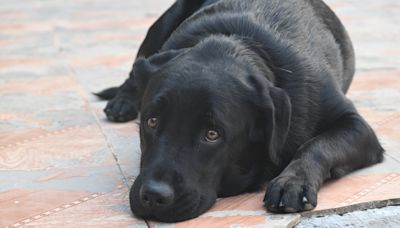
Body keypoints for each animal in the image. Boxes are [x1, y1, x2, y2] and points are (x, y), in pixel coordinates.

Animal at [95, 0, 382, 222]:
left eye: (212, 134)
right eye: (152, 121)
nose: (154, 196)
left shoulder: (355, 125)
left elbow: (317, 145)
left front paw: (292, 181)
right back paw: (123, 100)